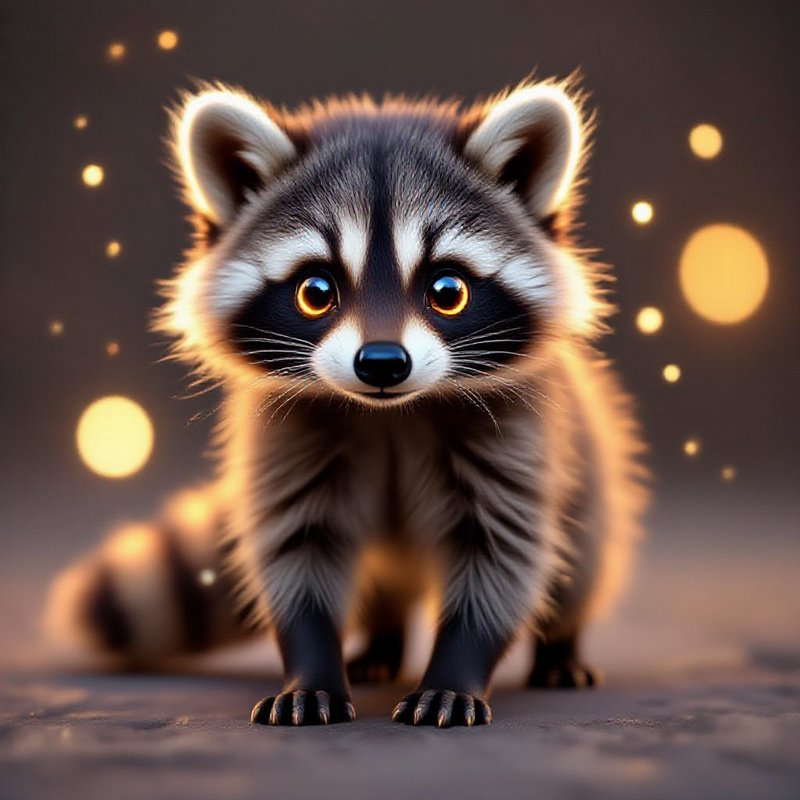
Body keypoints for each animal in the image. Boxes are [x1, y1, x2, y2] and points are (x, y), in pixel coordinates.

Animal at [47, 79, 647, 727]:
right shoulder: (286, 437)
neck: (390, 415)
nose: (382, 363)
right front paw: (311, 669)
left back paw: (561, 647)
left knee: (578, 568)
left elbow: (501, 557)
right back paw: (380, 643)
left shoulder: (519, 438)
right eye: (316, 291)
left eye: (448, 291)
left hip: (588, 483)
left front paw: (456, 671)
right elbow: (296, 553)